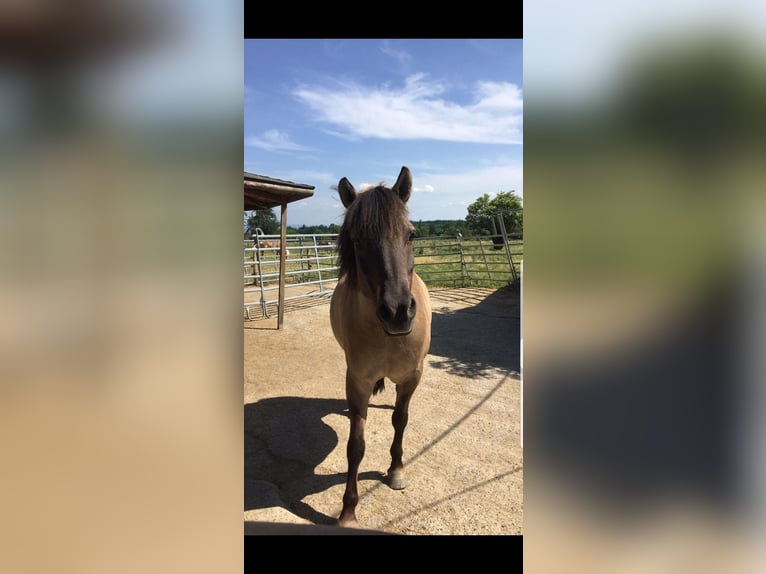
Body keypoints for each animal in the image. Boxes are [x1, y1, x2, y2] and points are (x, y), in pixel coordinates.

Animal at [332, 165, 436, 528]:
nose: (398, 312)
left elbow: (400, 420)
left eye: (412, 235)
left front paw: (396, 471)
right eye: (357, 240)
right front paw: (348, 510)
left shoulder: (412, 377)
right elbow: (355, 445)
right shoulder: (356, 380)